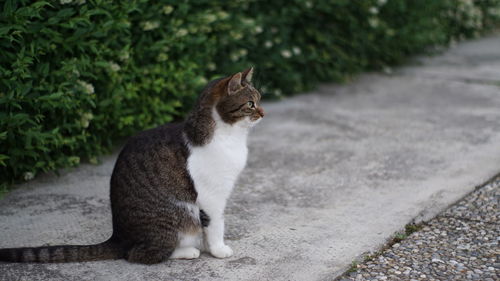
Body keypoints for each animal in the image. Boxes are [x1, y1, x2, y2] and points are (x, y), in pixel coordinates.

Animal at [0, 67, 264, 262]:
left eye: (259, 100)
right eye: (250, 103)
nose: (263, 113)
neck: (230, 136)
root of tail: (118, 237)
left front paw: (212, 248)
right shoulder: (211, 196)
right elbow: (216, 224)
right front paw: (219, 250)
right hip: (178, 215)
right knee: (138, 254)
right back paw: (187, 251)